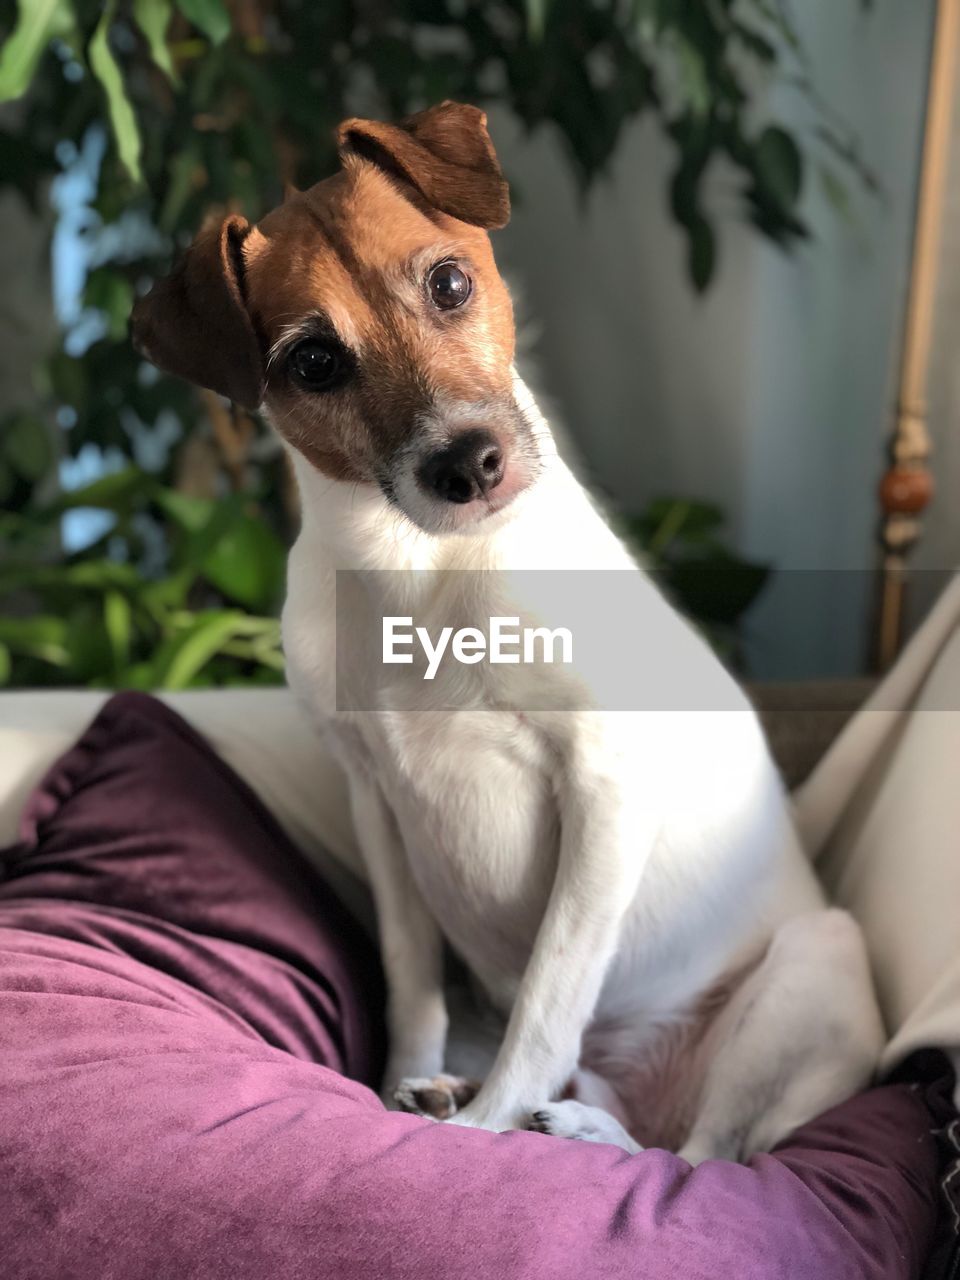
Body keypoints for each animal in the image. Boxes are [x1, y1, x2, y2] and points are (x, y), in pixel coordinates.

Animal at [133, 99, 885, 1162]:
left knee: (701, 1157)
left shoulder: (605, 783)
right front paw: (404, 1088)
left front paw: (484, 1132)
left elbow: (547, 996)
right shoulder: (377, 802)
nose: (472, 463)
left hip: (814, 960)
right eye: (313, 362)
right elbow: (412, 984)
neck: (420, 569)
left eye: (449, 282)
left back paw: (564, 1127)